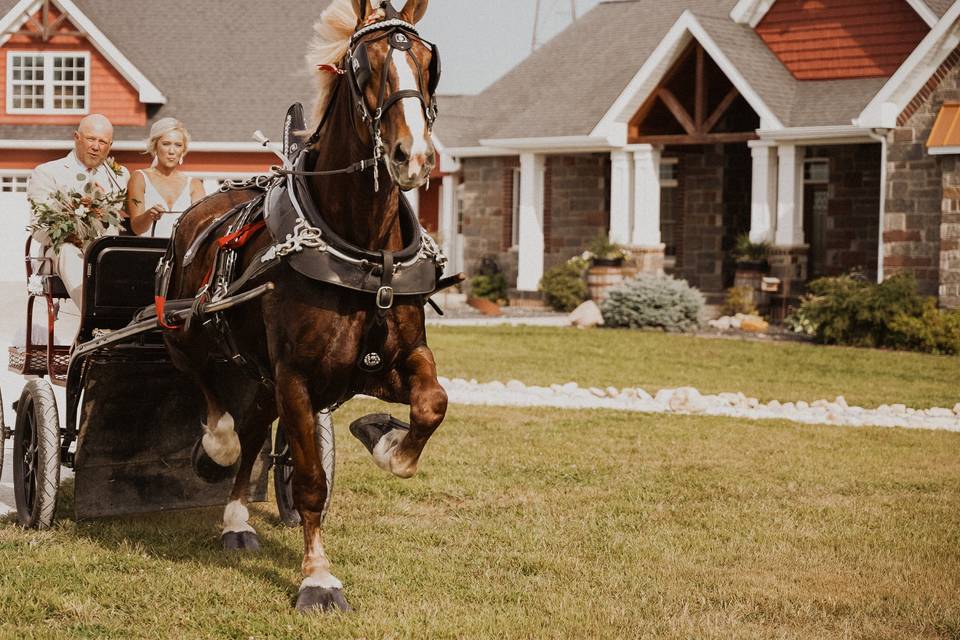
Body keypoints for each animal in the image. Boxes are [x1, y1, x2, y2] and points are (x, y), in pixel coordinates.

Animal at [164, 0, 446, 612]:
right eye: (362, 67)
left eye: (429, 63)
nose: (413, 156)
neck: (363, 252)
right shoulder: (296, 373)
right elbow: (313, 480)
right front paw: (318, 577)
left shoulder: (391, 358)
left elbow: (432, 403)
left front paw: (388, 442)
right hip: (185, 328)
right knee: (215, 400)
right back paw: (216, 446)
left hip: (262, 374)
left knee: (253, 428)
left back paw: (237, 519)